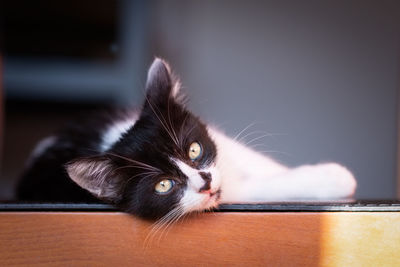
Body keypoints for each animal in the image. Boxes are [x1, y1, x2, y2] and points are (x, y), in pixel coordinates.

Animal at [18, 59, 356, 221]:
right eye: (164, 185)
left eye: (194, 150)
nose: (204, 181)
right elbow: (248, 188)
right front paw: (333, 179)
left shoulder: (219, 144)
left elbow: (245, 155)